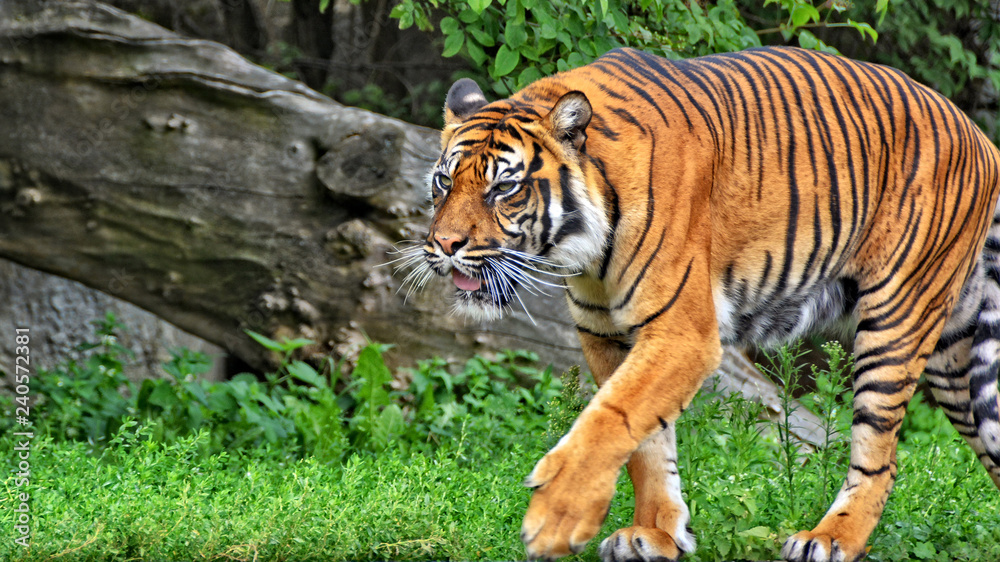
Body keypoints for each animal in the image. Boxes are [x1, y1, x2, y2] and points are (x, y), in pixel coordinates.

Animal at [404, 44, 1000, 560]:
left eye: (503, 188)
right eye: (443, 181)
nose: (444, 245)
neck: (588, 250)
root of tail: (979, 136)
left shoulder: (681, 333)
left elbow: (610, 418)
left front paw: (556, 518)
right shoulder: (606, 334)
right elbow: (645, 444)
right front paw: (655, 534)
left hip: (897, 319)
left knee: (881, 454)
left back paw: (830, 539)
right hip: (955, 358)